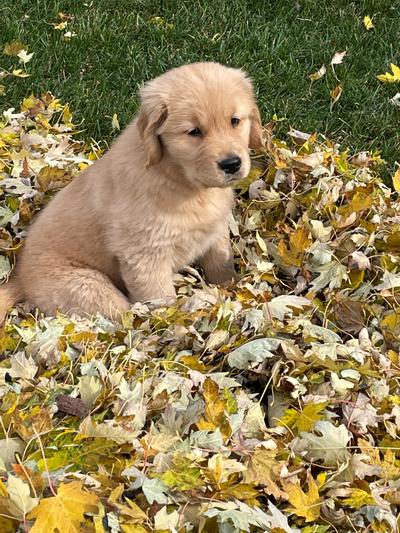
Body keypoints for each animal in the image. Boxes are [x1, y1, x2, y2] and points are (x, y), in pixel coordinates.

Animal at [0, 62, 264, 320]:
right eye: (194, 131)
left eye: (235, 121)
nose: (232, 164)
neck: (178, 178)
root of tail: (20, 278)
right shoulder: (144, 257)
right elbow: (162, 302)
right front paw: (171, 319)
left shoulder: (215, 230)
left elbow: (221, 264)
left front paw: (233, 287)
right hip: (91, 289)